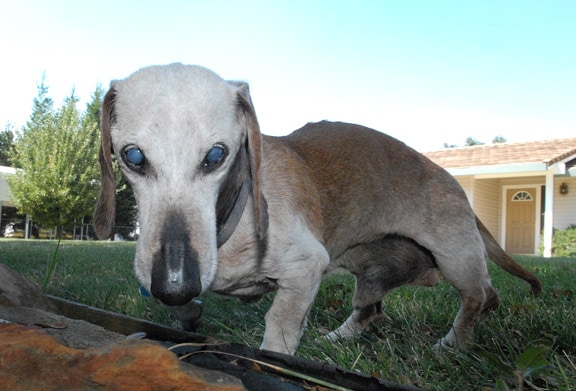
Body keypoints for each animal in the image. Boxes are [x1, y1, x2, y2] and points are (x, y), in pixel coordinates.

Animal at [93, 63, 540, 356]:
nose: (174, 284)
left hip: (455, 257)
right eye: (133, 156)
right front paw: (187, 313)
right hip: (368, 267)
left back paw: (453, 343)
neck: (230, 222)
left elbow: (279, 329)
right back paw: (337, 338)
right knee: (372, 309)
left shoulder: (305, 267)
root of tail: (447, 177)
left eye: (216, 155)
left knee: (483, 297)